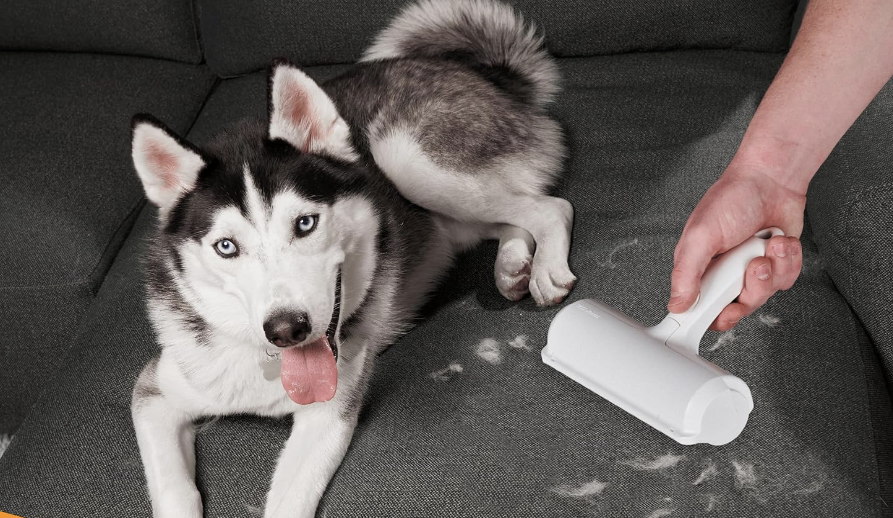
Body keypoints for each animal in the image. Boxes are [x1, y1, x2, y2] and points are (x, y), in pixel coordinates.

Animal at [132, 2, 576, 516]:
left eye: (305, 223)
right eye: (227, 246)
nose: (286, 329)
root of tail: (483, 73)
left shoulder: (329, 414)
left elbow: (287, 500)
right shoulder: (154, 395)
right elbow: (174, 489)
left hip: (407, 159)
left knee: (549, 207)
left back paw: (544, 270)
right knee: (511, 218)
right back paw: (512, 266)